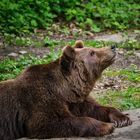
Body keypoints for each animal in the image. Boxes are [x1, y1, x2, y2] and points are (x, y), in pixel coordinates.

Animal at [0, 40, 131, 140]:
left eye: (93, 49)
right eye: (92, 52)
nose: (112, 47)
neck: (64, 89)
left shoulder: (76, 100)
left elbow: (95, 108)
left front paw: (122, 119)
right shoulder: (40, 99)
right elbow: (52, 121)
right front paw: (107, 126)